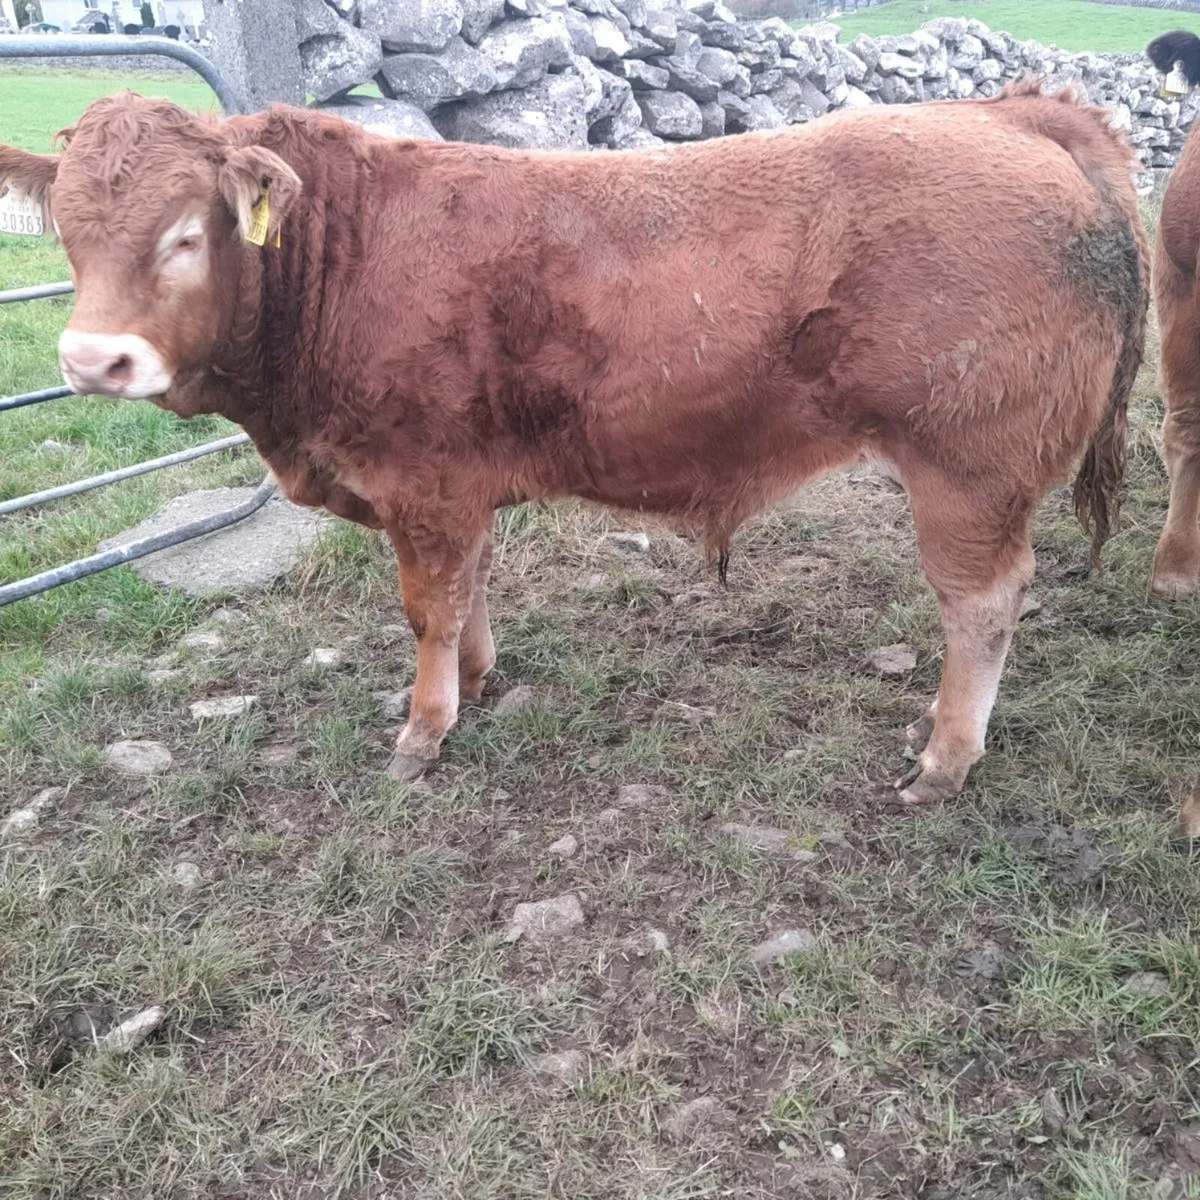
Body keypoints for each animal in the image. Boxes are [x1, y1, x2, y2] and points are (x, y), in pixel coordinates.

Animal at [0, 82, 1147, 805]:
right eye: (71, 236)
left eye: (187, 234)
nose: (94, 361)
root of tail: (1016, 113)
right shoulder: (456, 486)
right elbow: (468, 590)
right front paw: (478, 679)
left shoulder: (419, 481)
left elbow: (426, 607)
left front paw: (424, 728)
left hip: (968, 470)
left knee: (982, 606)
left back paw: (945, 759)